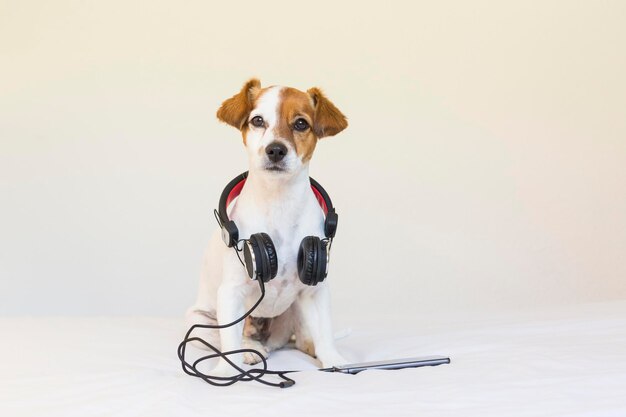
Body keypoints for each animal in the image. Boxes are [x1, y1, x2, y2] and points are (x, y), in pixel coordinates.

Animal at [185, 79, 352, 376]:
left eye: (300, 123)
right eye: (257, 120)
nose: (275, 149)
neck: (279, 202)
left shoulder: (315, 291)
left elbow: (325, 332)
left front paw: (333, 359)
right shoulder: (230, 293)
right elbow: (228, 341)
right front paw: (226, 372)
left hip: (295, 308)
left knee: (301, 338)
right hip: (200, 321)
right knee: (229, 337)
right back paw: (250, 351)